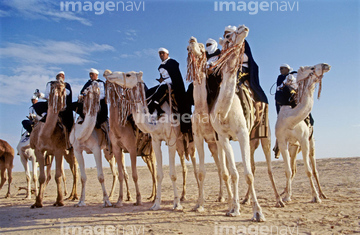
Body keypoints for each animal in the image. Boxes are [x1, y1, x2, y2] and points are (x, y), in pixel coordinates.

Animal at [104, 70, 197, 211]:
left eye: (129, 74)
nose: (109, 74)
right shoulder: (156, 140)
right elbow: (159, 174)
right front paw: (156, 204)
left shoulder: (170, 139)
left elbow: (173, 174)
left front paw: (176, 205)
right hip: (180, 144)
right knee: (184, 168)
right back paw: (182, 196)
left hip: (190, 141)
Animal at [208, 24, 264, 221]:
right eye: (227, 35)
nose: (243, 28)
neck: (225, 112)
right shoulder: (223, 136)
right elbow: (233, 173)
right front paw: (234, 208)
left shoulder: (243, 133)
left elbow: (248, 174)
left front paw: (258, 212)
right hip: (219, 141)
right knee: (225, 171)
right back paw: (236, 201)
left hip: (259, 135)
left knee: (254, 166)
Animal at [274, 63, 330, 203]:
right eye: (312, 68)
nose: (326, 65)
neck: (291, 120)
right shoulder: (283, 142)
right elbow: (288, 171)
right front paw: (287, 196)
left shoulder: (304, 140)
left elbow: (309, 171)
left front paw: (315, 197)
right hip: (293, 148)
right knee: (293, 170)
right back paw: (284, 192)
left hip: (311, 143)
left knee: (315, 170)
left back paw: (322, 194)